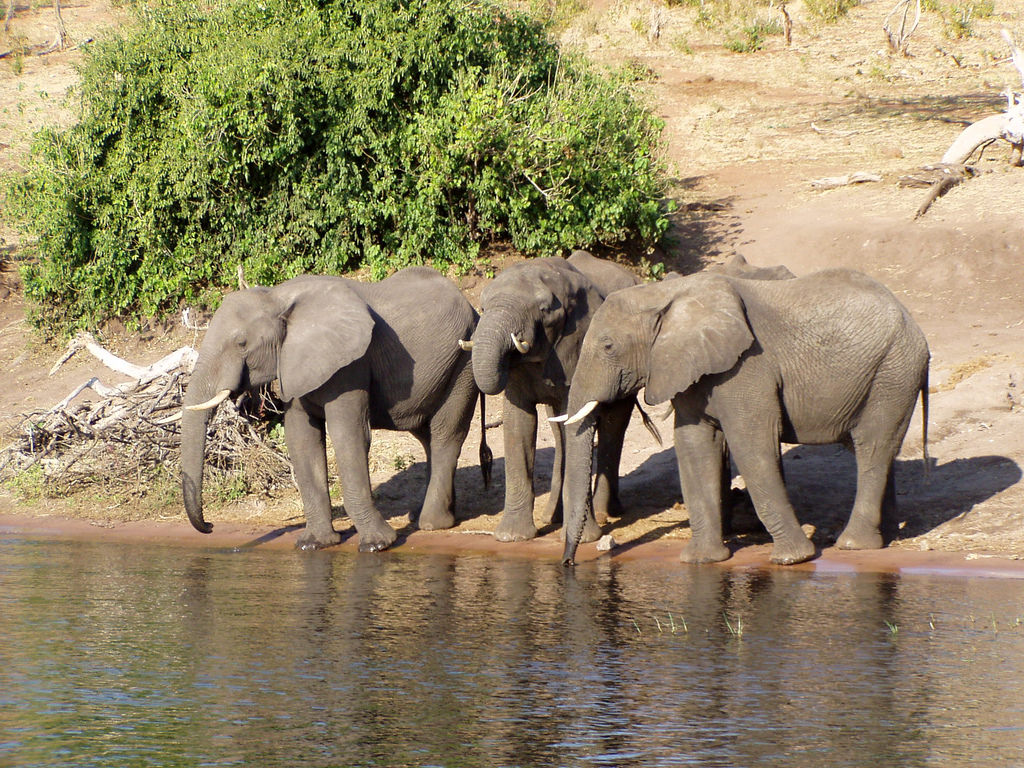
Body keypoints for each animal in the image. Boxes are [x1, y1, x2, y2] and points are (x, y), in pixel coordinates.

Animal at [181, 268, 487, 548]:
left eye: (241, 343)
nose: (210, 526)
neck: (278, 297)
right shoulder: (295, 364)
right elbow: (302, 440)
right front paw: (314, 544)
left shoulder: (350, 365)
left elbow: (348, 436)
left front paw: (378, 545)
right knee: (426, 435)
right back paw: (436, 516)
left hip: (463, 360)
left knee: (446, 433)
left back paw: (433, 523)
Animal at [466, 250, 638, 540]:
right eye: (483, 307)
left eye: (545, 311)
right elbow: (518, 423)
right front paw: (512, 537)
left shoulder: (579, 344)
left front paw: (587, 538)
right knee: (559, 432)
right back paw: (553, 517)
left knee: (614, 426)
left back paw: (607, 513)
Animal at [557, 268, 933, 565]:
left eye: (608, 346)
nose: (568, 563)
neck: (666, 294)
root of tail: (914, 326)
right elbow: (694, 446)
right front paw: (702, 561)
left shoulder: (747, 367)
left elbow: (752, 446)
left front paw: (792, 559)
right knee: (879, 450)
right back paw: (884, 540)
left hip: (892, 372)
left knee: (872, 448)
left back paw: (853, 545)